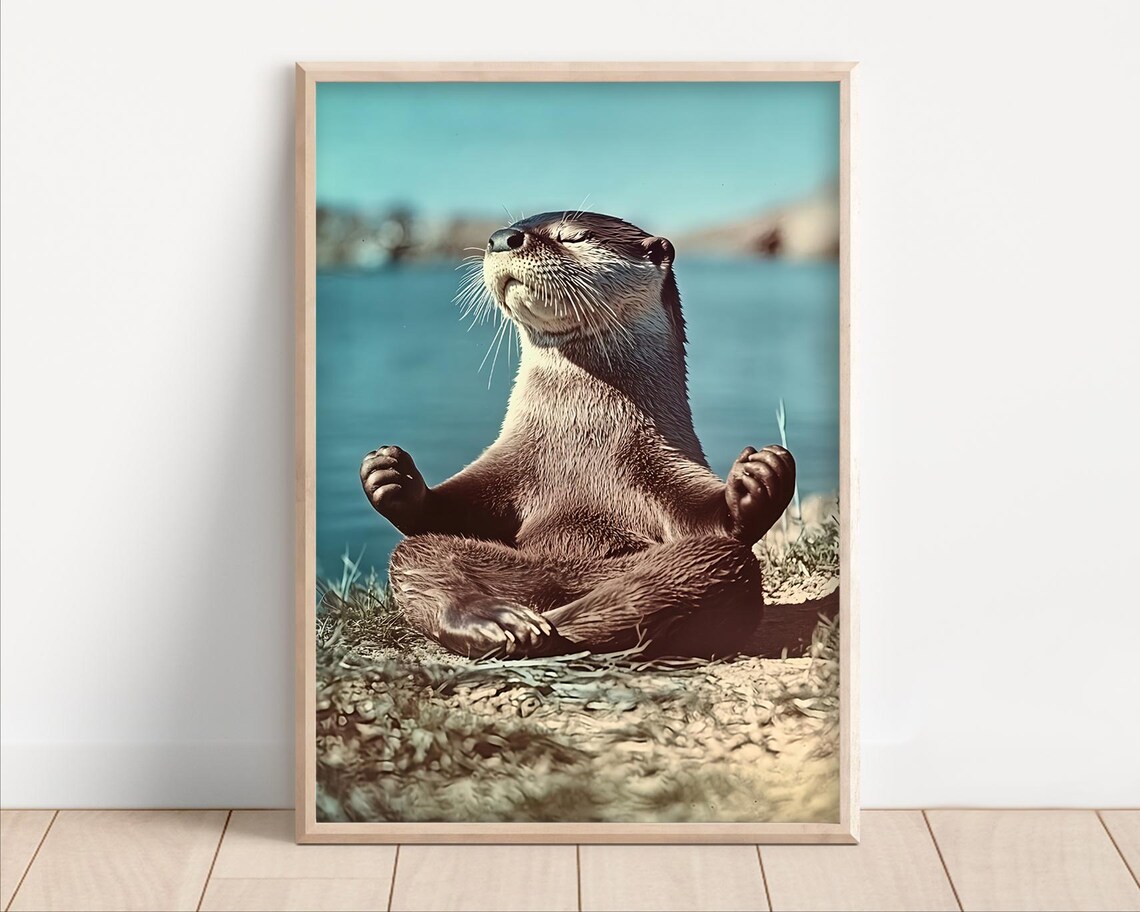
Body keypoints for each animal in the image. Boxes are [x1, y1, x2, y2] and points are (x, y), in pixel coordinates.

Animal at [360, 211, 797, 658]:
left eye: (575, 236)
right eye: (512, 225)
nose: (502, 237)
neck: (582, 430)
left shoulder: (662, 460)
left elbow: (712, 521)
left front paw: (758, 476)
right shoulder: (508, 462)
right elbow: (448, 509)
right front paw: (392, 474)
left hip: (699, 566)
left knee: (705, 566)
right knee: (419, 554)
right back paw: (501, 622)